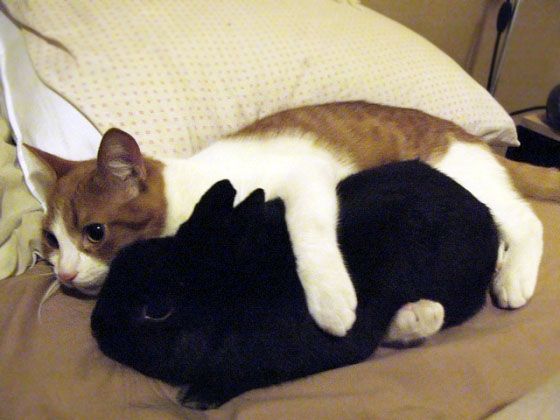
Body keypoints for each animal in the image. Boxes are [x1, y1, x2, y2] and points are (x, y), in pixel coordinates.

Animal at [28, 101, 552, 338]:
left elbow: (311, 233)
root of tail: (467, 133)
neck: (188, 192)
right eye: (51, 240)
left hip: (467, 178)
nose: (64, 274)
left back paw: (514, 277)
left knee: (527, 221)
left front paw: (332, 299)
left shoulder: (306, 177)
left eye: (94, 232)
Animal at [91, 162, 498, 410]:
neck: (233, 289)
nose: (97, 328)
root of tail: (487, 217)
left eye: (157, 310)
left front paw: (198, 397)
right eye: (125, 258)